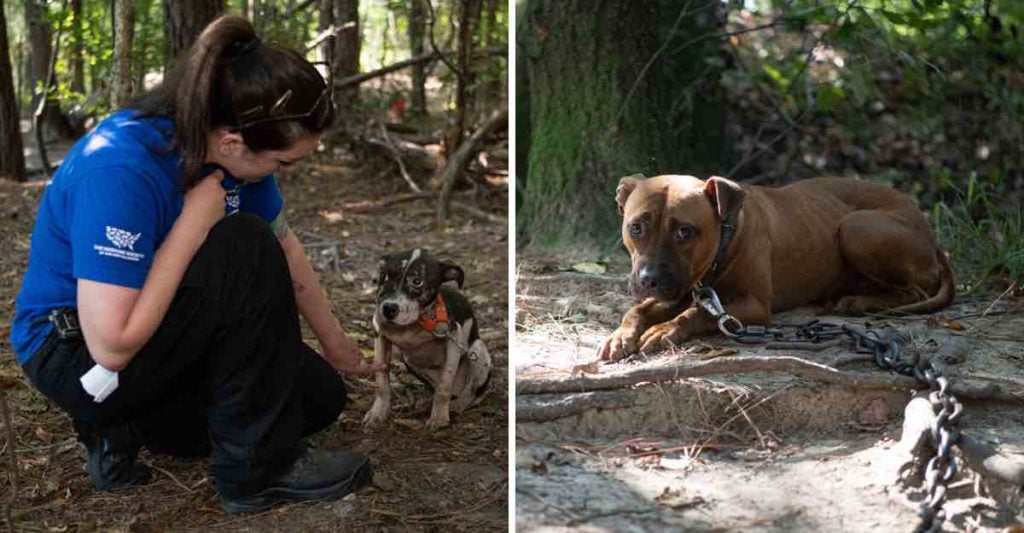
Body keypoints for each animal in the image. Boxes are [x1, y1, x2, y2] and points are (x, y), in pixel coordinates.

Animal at [598, 175, 954, 362]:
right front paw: (620, 335)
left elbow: (696, 313)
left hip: (856, 227)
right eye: (635, 228)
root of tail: (929, 233)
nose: (649, 279)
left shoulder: (752, 306)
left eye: (685, 231)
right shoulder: (679, 292)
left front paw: (664, 329)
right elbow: (637, 310)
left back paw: (858, 301)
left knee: (913, 291)